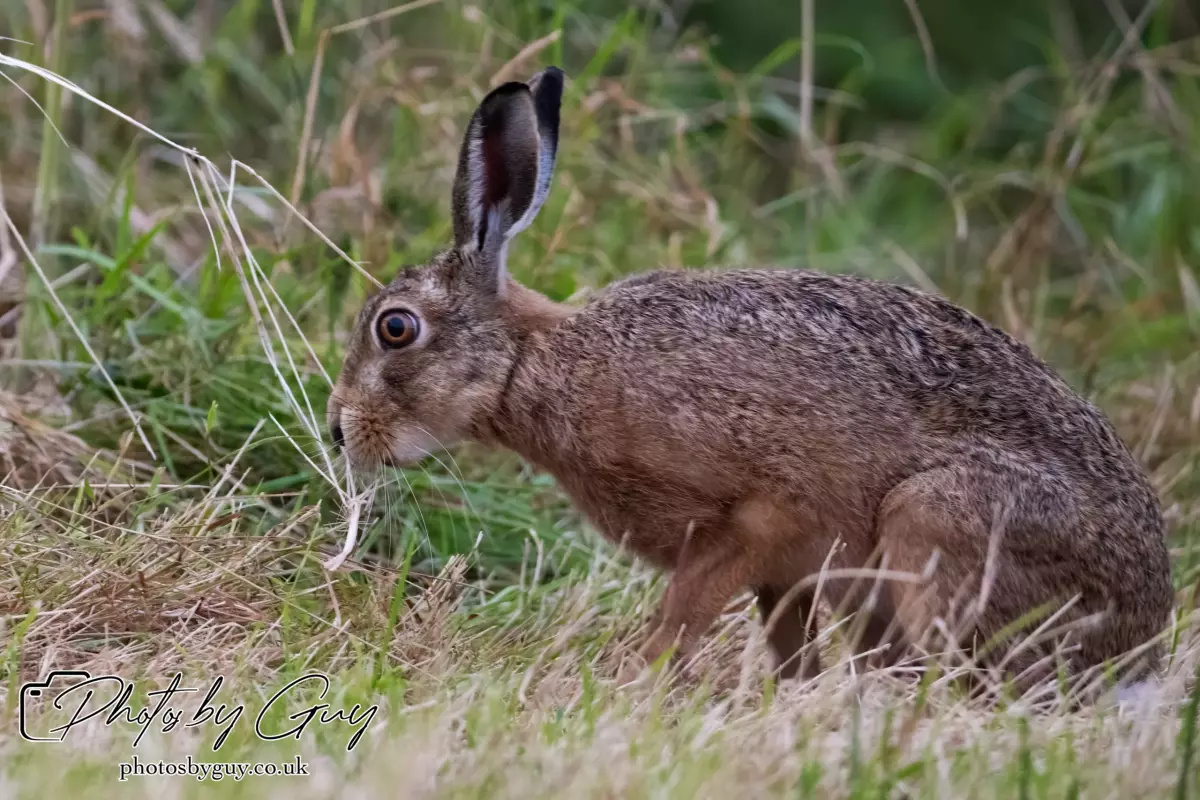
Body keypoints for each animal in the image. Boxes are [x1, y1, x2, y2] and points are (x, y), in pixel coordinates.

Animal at [328, 66, 1174, 689]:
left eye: (396, 328)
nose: (339, 430)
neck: (533, 362)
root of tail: (1142, 642)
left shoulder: (757, 521)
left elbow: (681, 616)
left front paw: (633, 684)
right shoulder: (784, 576)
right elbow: (787, 648)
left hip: (939, 519)